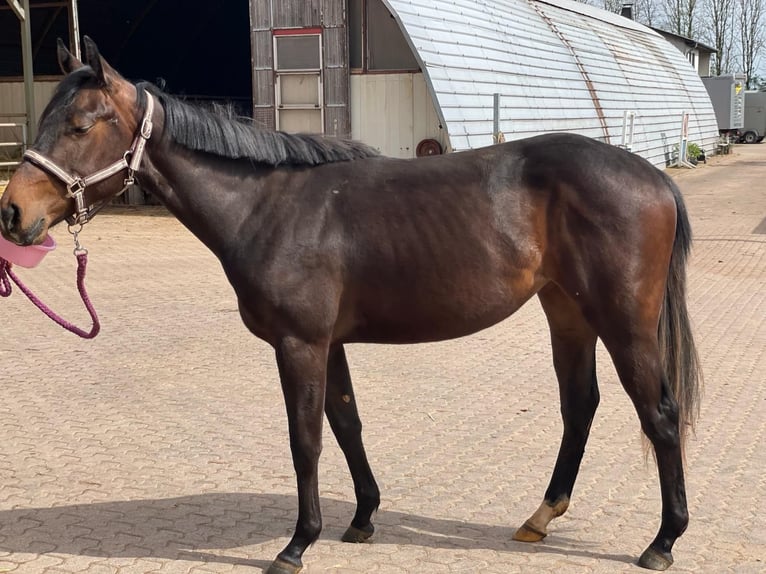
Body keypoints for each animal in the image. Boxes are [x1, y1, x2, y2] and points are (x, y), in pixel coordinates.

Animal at [0, 38, 704, 572]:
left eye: (80, 125)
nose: (13, 214)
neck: (267, 206)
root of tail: (654, 176)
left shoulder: (300, 344)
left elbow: (305, 439)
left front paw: (296, 543)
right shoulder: (329, 343)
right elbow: (346, 424)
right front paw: (363, 517)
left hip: (624, 323)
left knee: (660, 415)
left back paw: (663, 541)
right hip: (567, 313)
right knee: (579, 406)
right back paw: (540, 516)